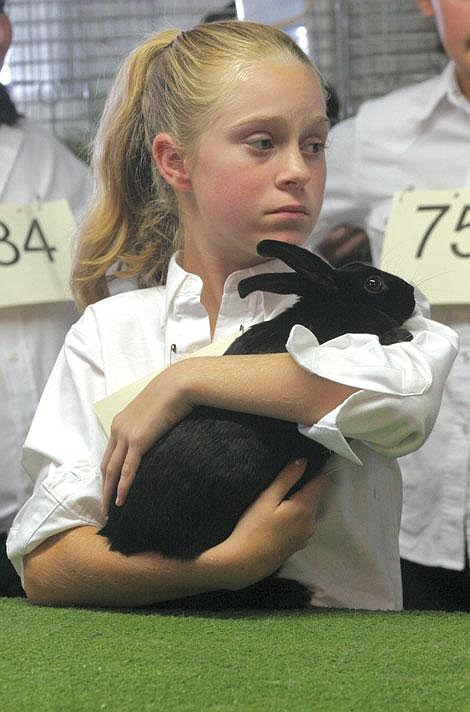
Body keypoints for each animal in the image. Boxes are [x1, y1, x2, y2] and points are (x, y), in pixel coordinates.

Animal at [100, 239, 414, 608]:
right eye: (373, 284)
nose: (412, 295)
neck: (329, 308)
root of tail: (121, 537)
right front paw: (400, 334)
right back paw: (293, 592)